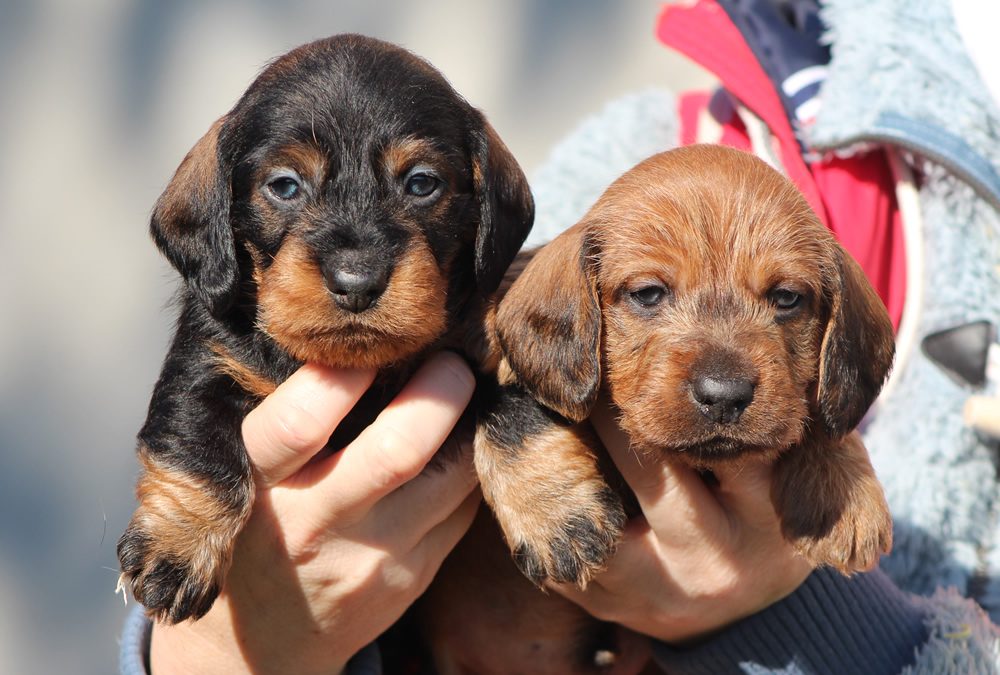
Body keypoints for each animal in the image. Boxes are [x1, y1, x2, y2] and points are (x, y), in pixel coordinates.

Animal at [119, 33, 532, 624]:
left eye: (421, 183)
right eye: (286, 186)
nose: (356, 282)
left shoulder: (486, 344)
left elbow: (521, 409)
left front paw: (562, 515)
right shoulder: (205, 363)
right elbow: (197, 445)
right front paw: (175, 550)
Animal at [476, 144, 900, 592]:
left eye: (786, 298)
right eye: (647, 293)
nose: (724, 396)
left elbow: (822, 408)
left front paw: (841, 489)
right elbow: (511, 413)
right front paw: (556, 512)